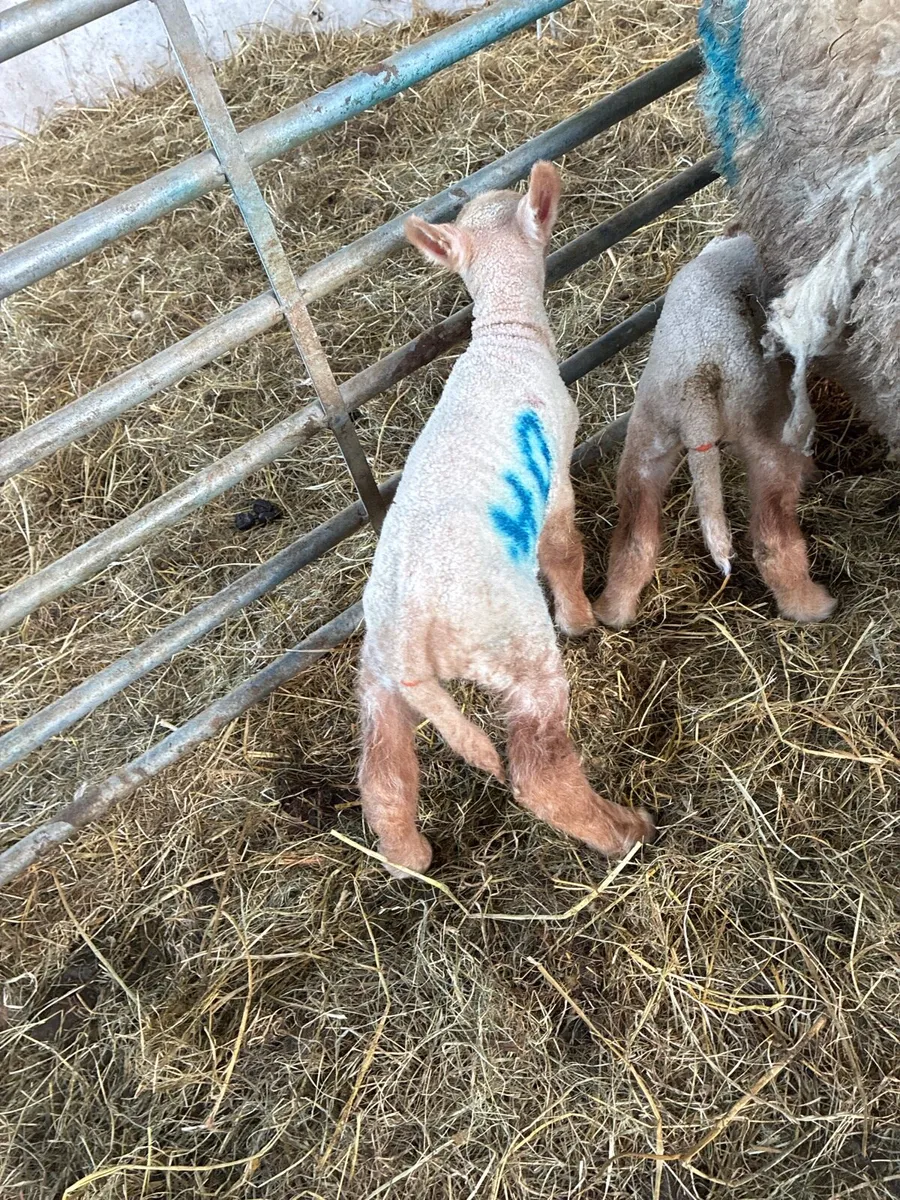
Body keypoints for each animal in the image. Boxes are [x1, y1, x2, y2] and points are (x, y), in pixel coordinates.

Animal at [357, 162, 654, 878]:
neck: (504, 335)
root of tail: (412, 641)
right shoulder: (556, 479)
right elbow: (563, 552)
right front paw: (580, 618)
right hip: (516, 653)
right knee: (539, 777)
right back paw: (624, 832)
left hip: (379, 682)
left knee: (384, 778)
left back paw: (409, 857)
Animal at [593, 229, 836, 630]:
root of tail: (696, 387)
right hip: (761, 421)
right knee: (771, 537)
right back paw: (812, 605)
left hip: (650, 431)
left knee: (635, 536)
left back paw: (613, 611)